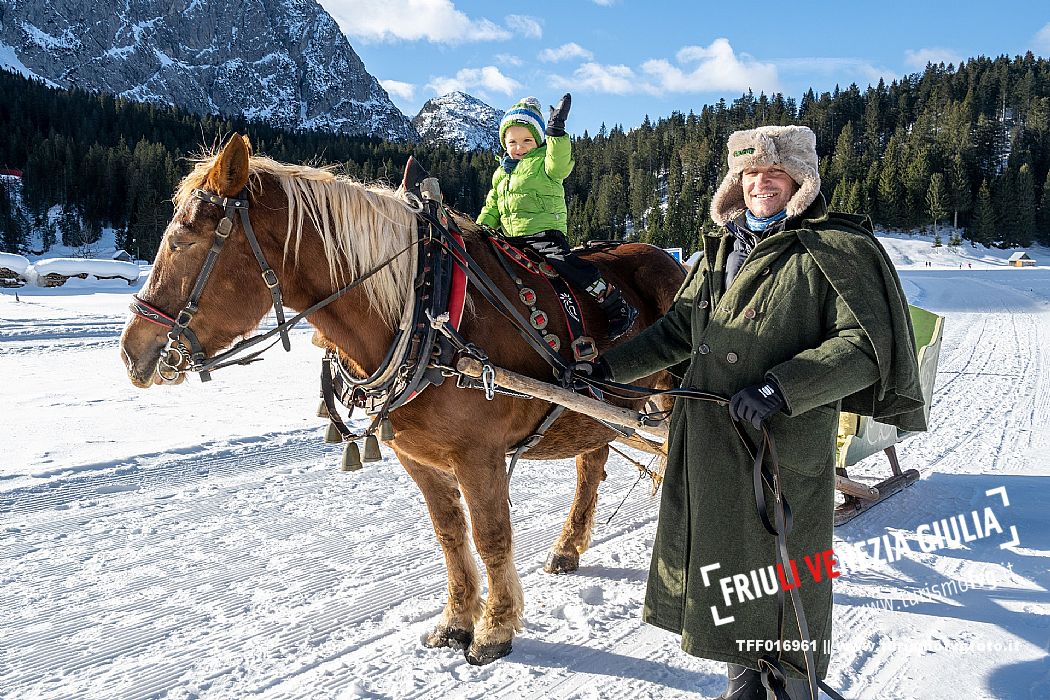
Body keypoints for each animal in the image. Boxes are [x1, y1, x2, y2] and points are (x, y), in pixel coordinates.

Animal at [120, 134, 680, 667]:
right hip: (597, 412)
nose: (131, 352)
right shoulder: (419, 457)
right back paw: (568, 547)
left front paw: (495, 630)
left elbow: (492, 538)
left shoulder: (479, 455)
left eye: (183, 239)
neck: (424, 306)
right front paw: (455, 622)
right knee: (592, 465)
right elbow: (451, 535)